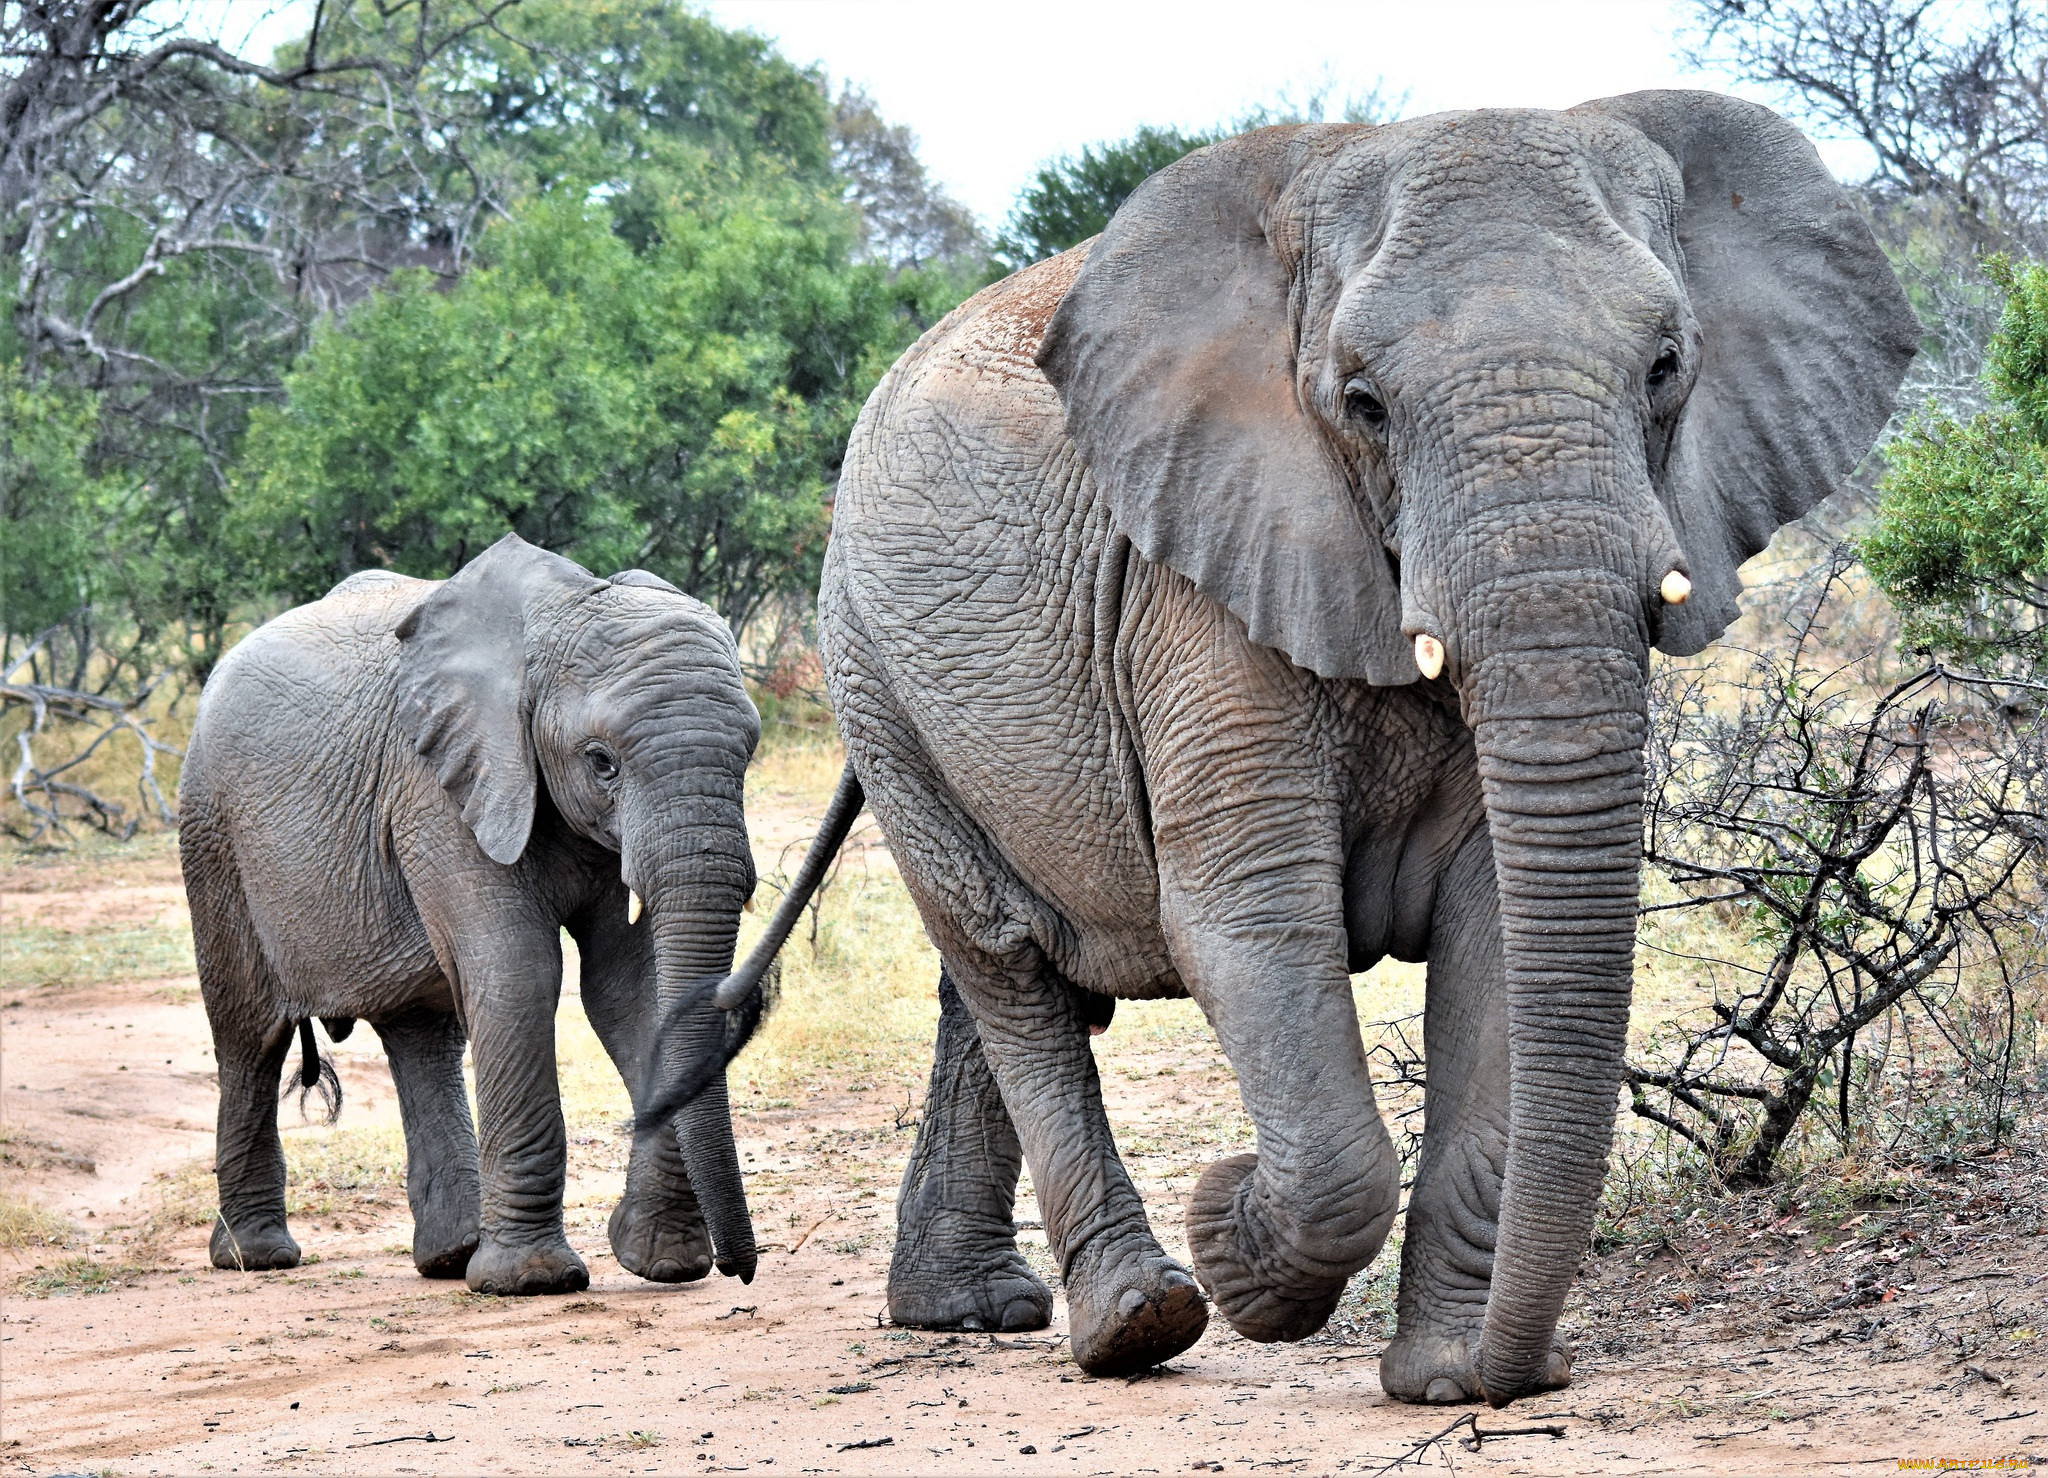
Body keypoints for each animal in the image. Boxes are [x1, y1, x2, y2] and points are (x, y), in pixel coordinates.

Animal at [180, 532, 761, 1293]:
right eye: (601, 761)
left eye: (749, 754)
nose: (740, 1270)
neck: (555, 614)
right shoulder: (438, 788)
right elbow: (520, 973)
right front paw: (533, 1281)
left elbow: (625, 990)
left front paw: (662, 1262)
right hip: (212, 833)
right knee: (250, 1033)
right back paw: (259, 1257)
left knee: (422, 1032)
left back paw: (450, 1257)